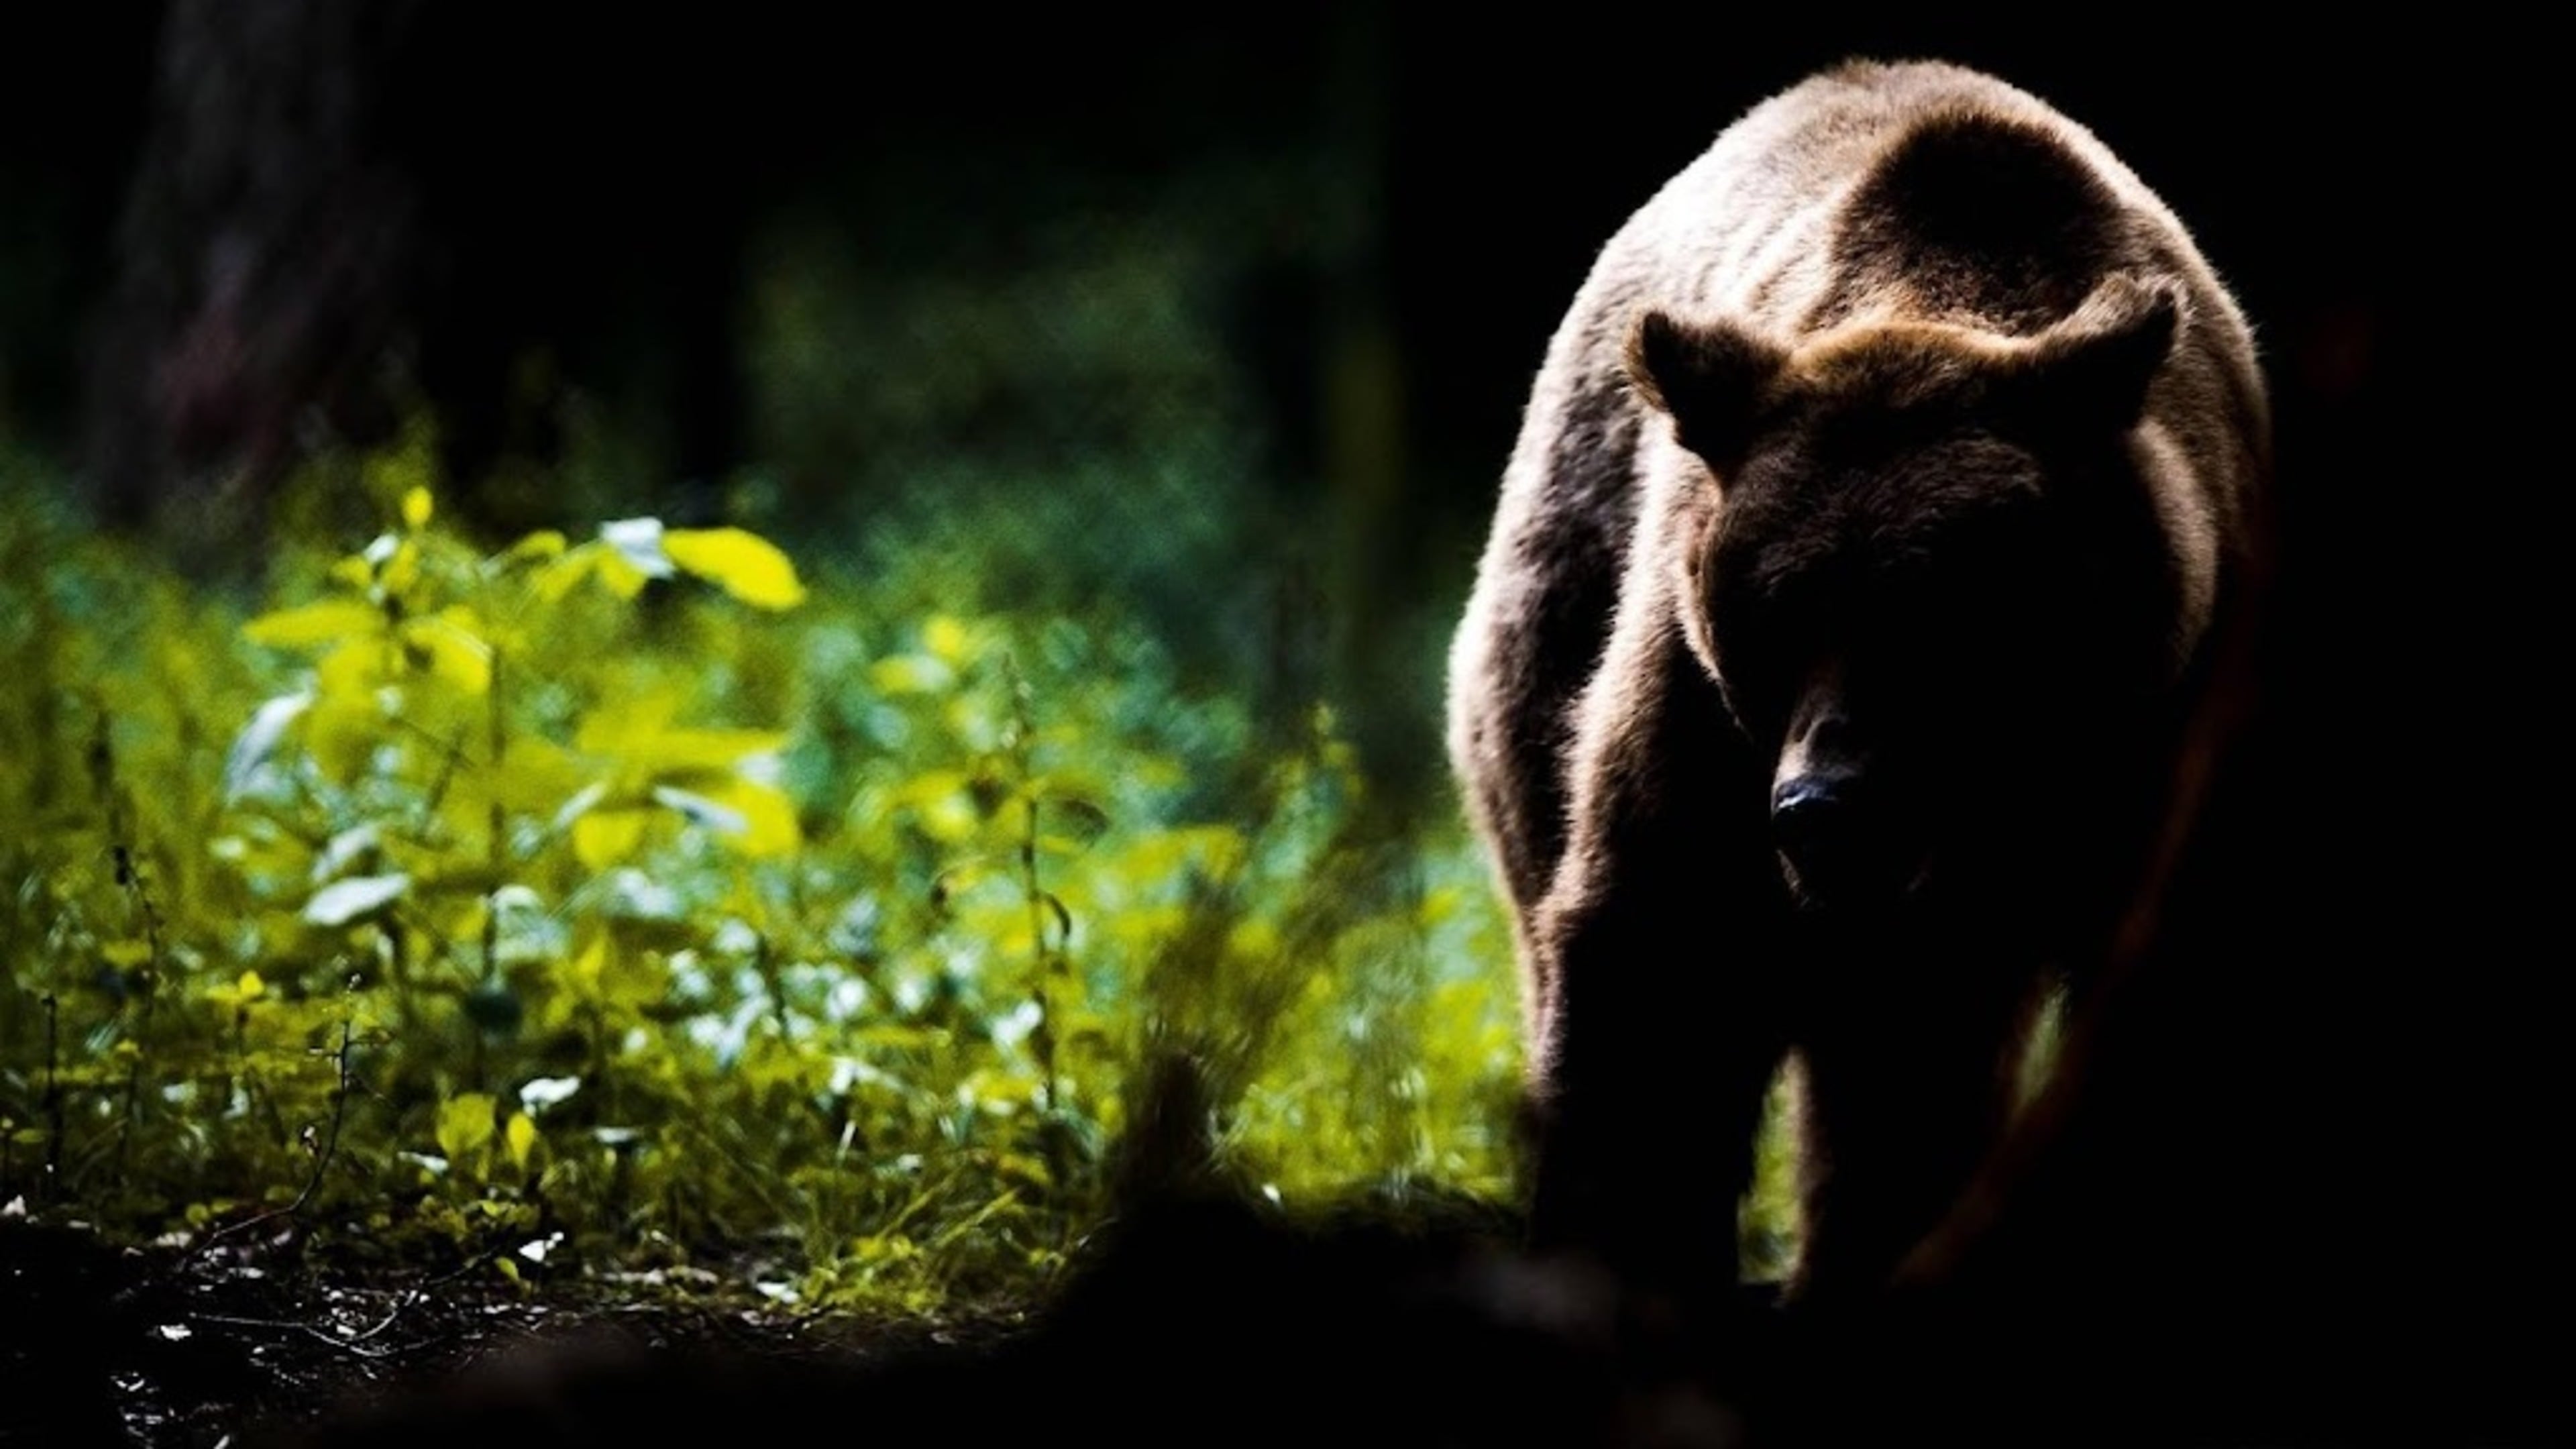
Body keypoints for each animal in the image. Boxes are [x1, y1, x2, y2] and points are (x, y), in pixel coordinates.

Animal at [1445, 58, 2270, 1304]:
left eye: (1946, 612)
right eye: (1779, 609)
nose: (1823, 808)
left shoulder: (2165, 728)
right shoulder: (1698, 721)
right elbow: (1655, 974)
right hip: (1549, 636)